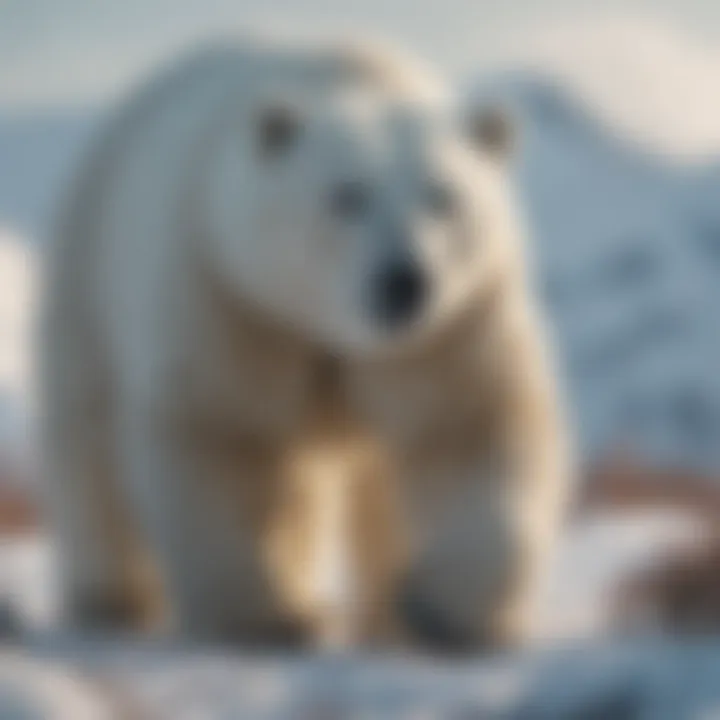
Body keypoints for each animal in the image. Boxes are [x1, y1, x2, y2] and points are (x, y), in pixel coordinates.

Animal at [39, 36, 572, 648]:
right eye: (347, 196)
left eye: (443, 197)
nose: (404, 281)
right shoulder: (234, 301)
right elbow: (225, 438)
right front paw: (266, 620)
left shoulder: (452, 326)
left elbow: (466, 430)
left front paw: (438, 609)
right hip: (89, 278)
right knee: (90, 446)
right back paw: (113, 602)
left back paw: (380, 616)